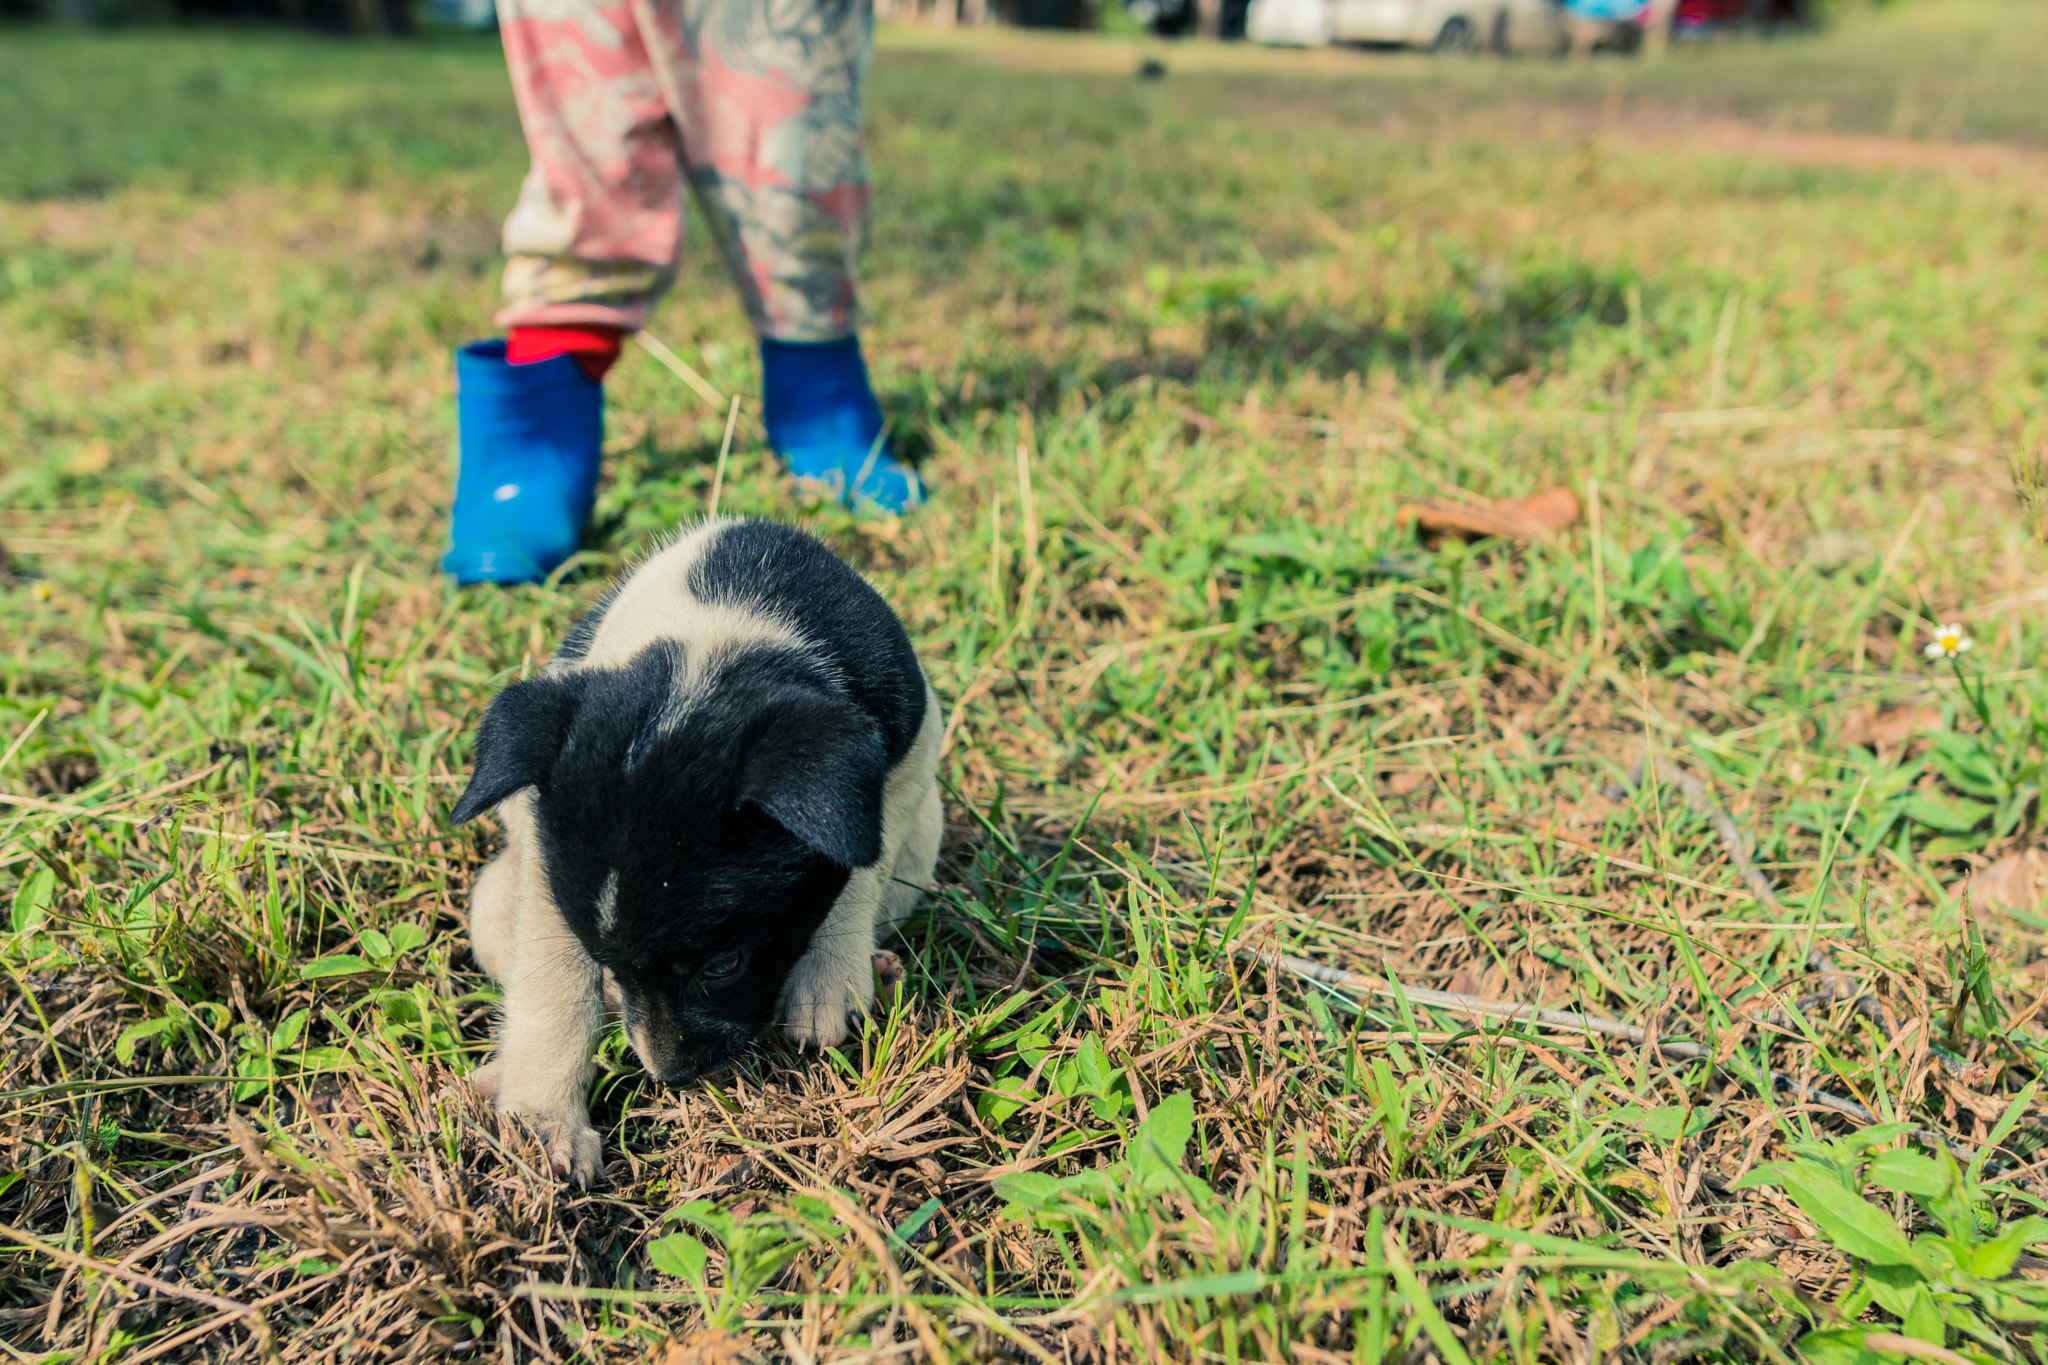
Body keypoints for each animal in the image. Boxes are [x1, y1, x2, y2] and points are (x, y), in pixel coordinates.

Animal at [448, 517, 942, 1178]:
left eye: (723, 964)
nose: (674, 1078)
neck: (713, 647)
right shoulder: (547, 862)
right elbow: (553, 984)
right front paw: (545, 1121)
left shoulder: (910, 749)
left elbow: (860, 859)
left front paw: (828, 979)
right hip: (496, 899)